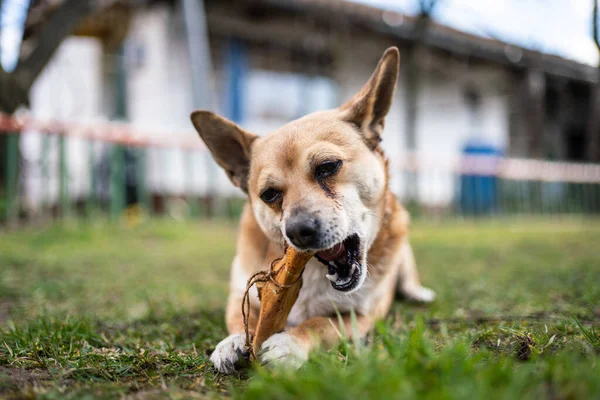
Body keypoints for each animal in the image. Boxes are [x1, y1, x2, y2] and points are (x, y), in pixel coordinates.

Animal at [192, 47, 436, 376]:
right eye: (269, 195)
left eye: (328, 167)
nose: (298, 231)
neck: (316, 275)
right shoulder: (238, 294)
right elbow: (242, 318)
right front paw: (231, 341)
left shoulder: (359, 318)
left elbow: (320, 325)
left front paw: (291, 342)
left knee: (408, 279)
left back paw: (419, 293)